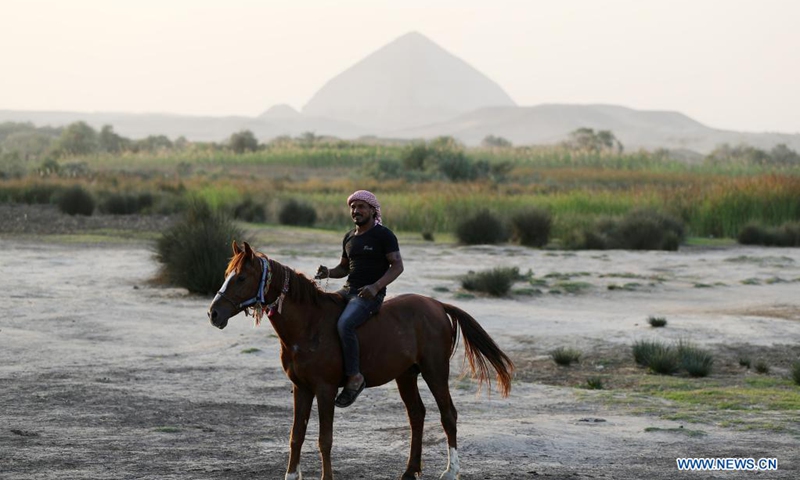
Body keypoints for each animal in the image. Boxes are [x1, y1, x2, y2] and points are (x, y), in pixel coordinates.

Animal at [207, 241, 514, 480]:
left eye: (241, 278)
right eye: (226, 275)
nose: (213, 313)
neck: (308, 325)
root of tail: (437, 305)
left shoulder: (325, 390)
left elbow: (324, 439)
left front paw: (326, 477)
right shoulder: (301, 388)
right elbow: (297, 436)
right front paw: (291, 475)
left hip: (435, 371)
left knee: (448, 414)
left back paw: (451, 471)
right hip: (406, 375)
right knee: (417, 415)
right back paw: (410, 470)